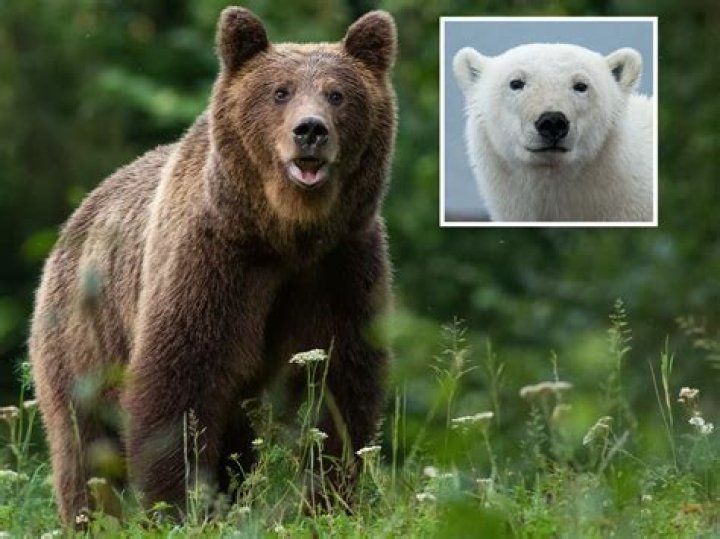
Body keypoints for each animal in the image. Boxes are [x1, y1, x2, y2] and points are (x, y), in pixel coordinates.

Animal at [29, 7, 396, 525]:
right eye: (280, 91)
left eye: (337, 93)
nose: (310, 130)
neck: (285, 234)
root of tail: (76, 217)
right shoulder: (214, 261)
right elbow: (181, 381)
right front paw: (179, 506)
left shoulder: (339, 265)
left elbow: (338, 384)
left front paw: (329, 500)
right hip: (82, 335)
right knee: (85, 443)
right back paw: (91, 518)